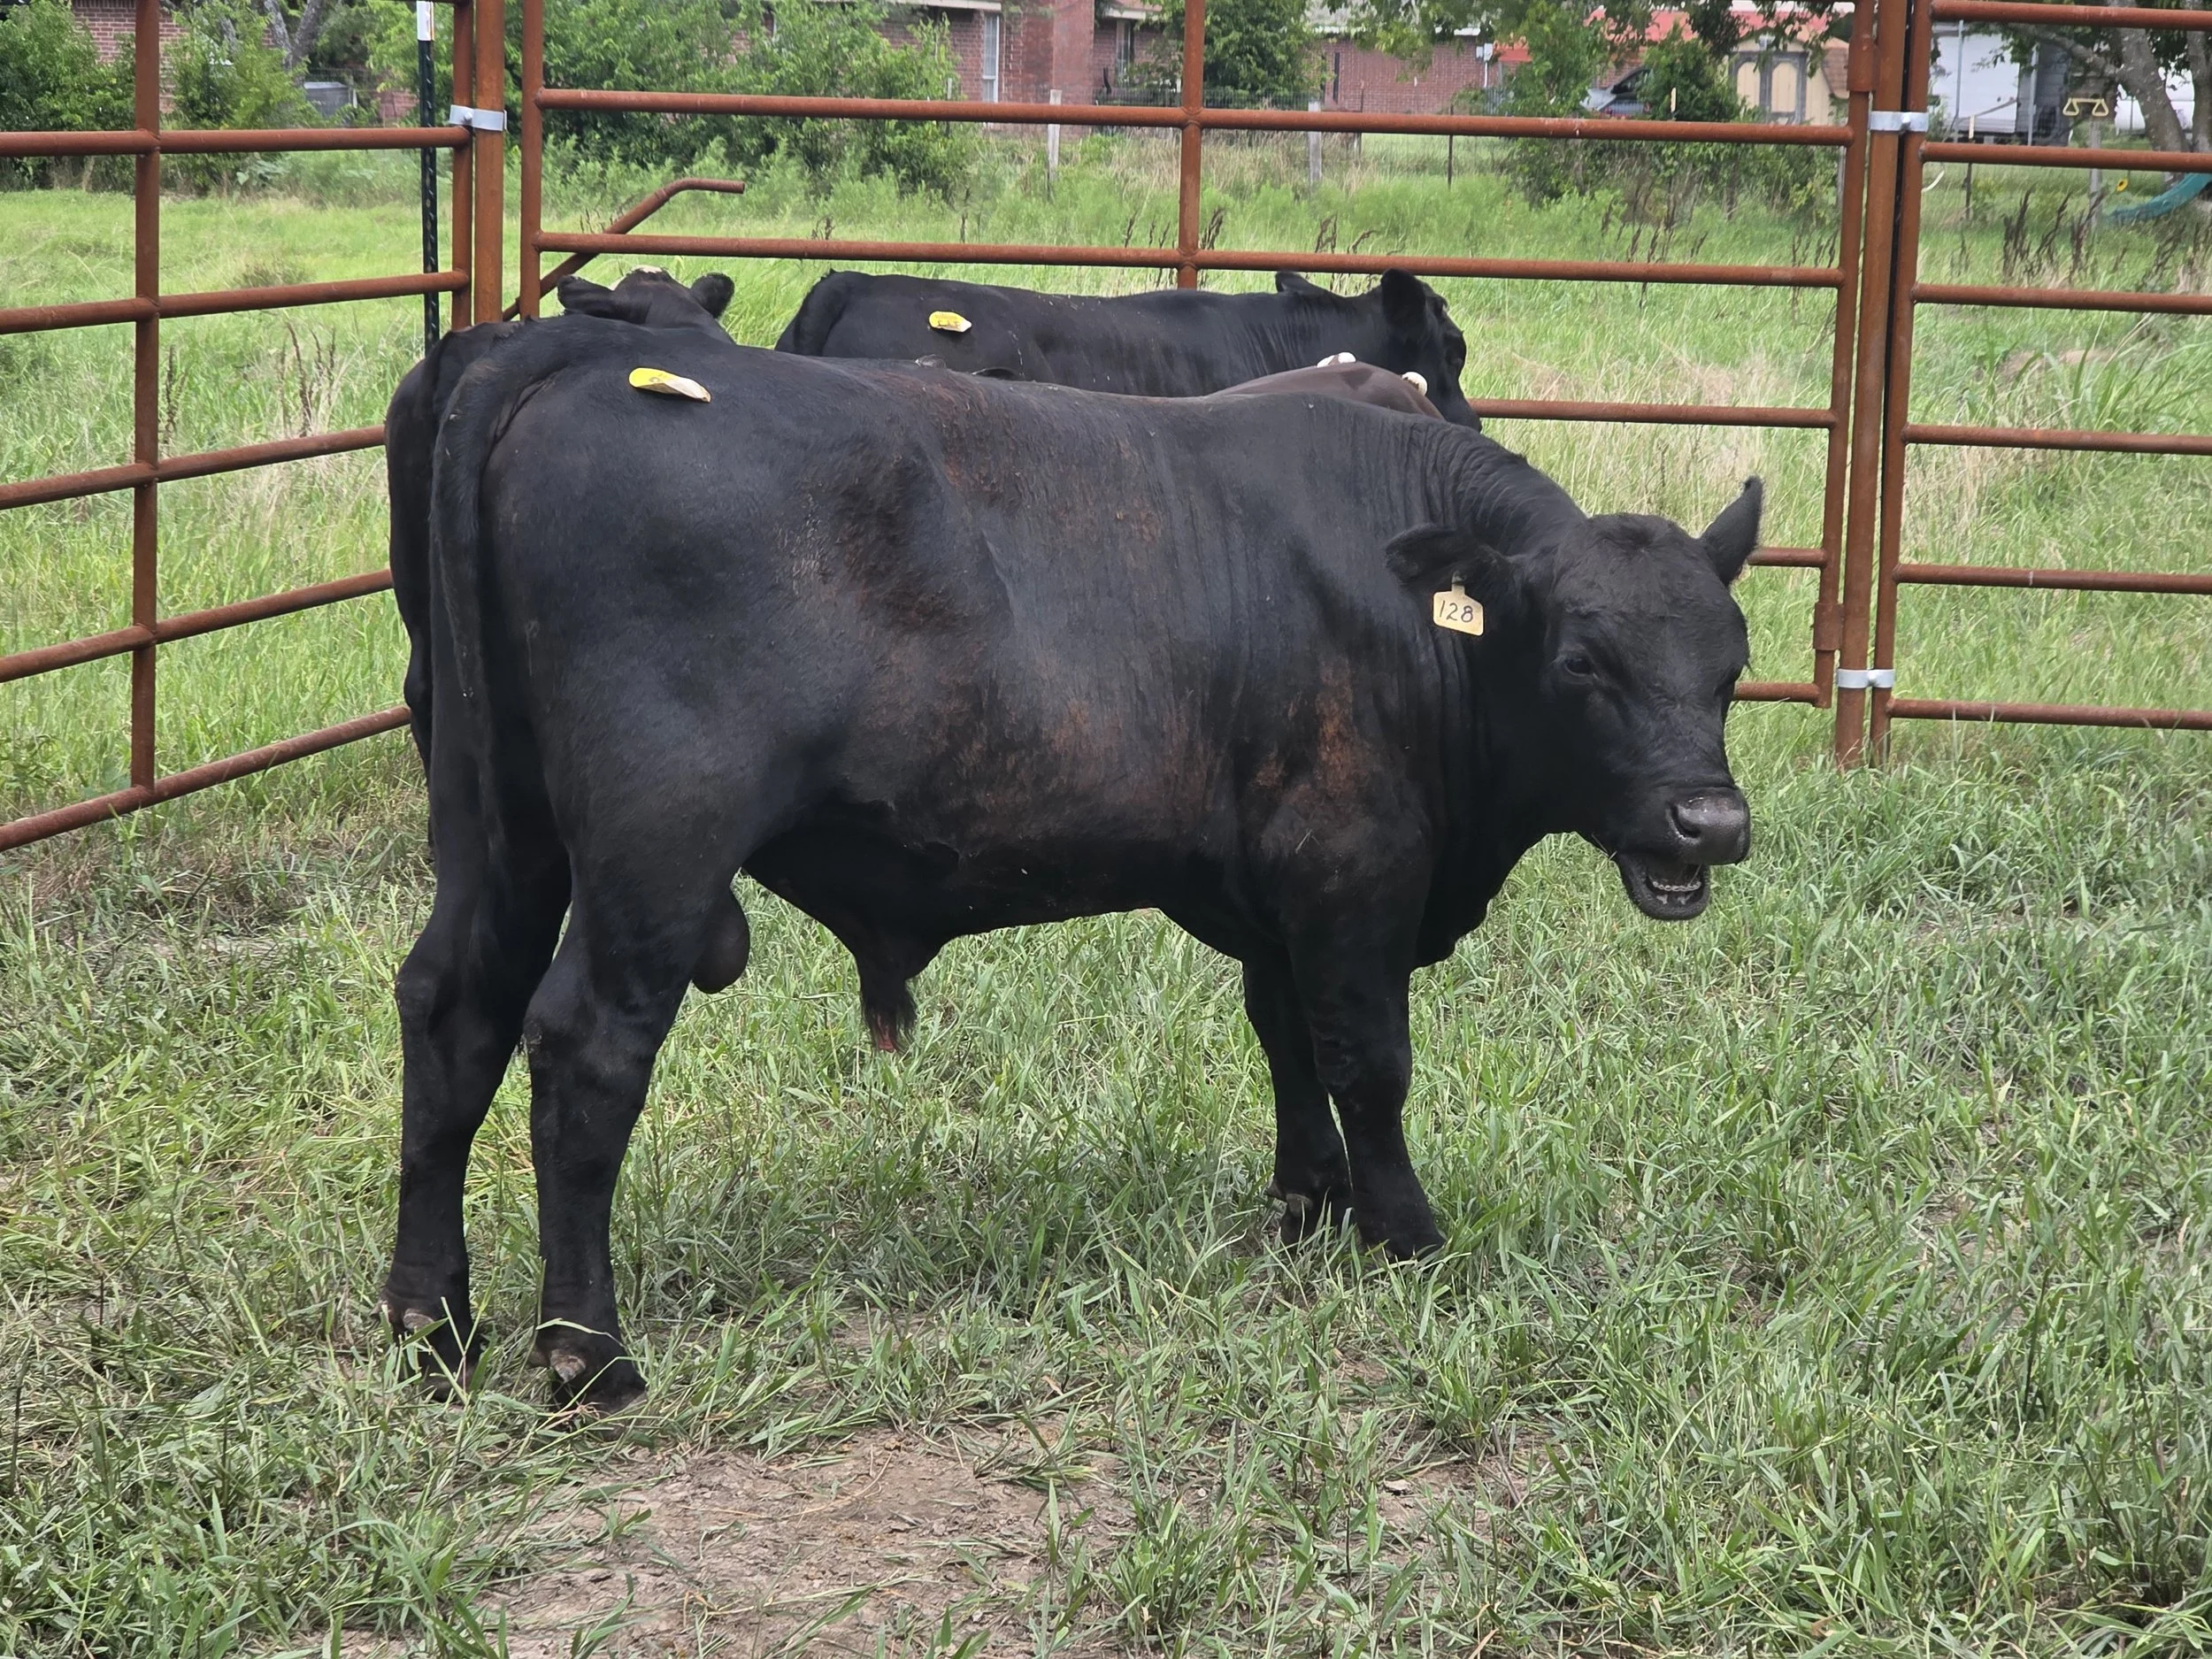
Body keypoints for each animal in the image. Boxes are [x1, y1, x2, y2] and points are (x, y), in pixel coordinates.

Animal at [383, 322, 1758, 1410]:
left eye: (1732, 660)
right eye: (1582, 661)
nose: (1710, 821)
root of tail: (562, 353)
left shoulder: (1277, 896)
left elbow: (1289, 1041)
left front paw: (1307, 1206)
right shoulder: (1354, 871)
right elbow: (1370, 1063)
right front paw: (1403, 1232)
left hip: (501, 834)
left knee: (453, 1012)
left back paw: (429, 1321)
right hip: (653, 859)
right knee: (583, 1051)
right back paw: (589, 1355)